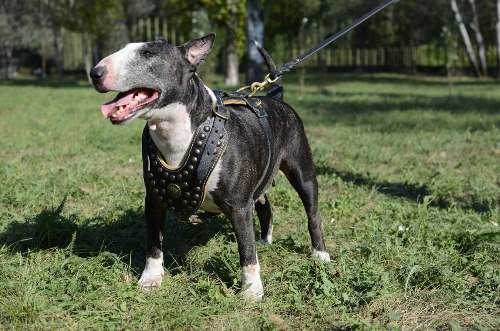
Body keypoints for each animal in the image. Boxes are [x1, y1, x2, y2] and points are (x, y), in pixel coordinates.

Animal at [90, 33, 330, 300]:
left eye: (148, 53)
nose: (95, 73)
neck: (178, 132)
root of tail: (274, 98)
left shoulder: (238, 205)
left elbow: (246, 247)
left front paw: (251, 290)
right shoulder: (154, 199)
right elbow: (153, 241)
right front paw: (151, 278)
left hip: (302, 171)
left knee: (312, 212)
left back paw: (320, 254)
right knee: (265, 205)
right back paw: (265, 241)